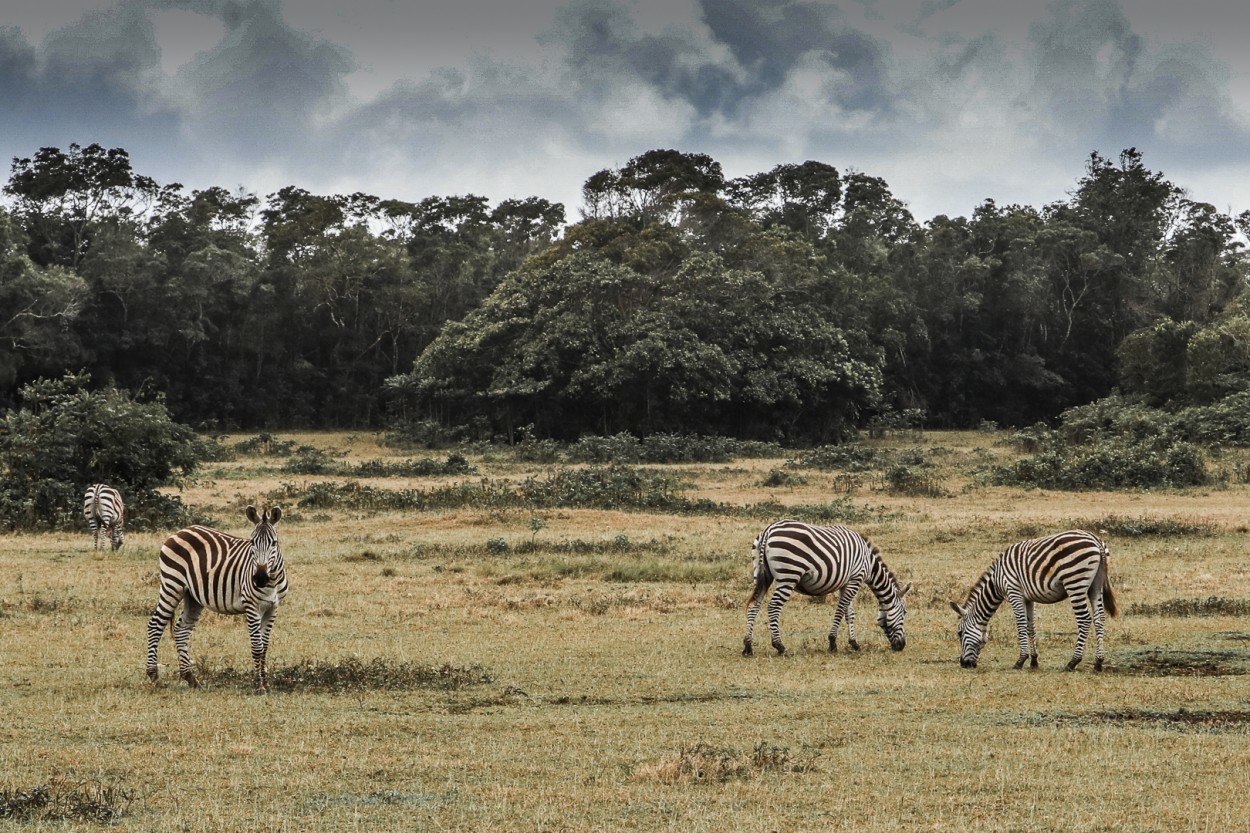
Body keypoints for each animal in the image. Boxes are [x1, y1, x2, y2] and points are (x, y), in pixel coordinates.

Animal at [145, 502, 286, 690]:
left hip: (193, 596)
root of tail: (180, 531)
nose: (260, 578)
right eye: (252, 542)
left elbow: (265, 647)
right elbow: (257, 646)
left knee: (181, 629)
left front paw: (266, 683)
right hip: (172, 585)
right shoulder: (251, 606)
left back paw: (190, 678)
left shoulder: (273, 607)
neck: (271, 583)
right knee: (155, 625)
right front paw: (258, 685)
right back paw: (154, 675)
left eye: (274, 543)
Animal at [740, 520, 910, 655]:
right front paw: (833, 643)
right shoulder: (855, 579)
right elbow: (841, 610)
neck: (869, 564)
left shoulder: (846, 583)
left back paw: (748, 646)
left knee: (754, 605)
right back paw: (780, 646)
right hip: (789, 575)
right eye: (904, 613)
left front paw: (854, 643)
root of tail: (768, 531)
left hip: (761, 574)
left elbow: (849, 613)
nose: (901, 646)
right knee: (774, 606)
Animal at [950, 527, 1120, 670]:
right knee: (1099, 618)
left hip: (1075, 581)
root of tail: (1096, 541)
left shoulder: (1014, 592)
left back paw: (1073, 662)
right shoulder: (1028, 598)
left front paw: (1020, 660)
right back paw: (1098, 662)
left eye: (959, 633)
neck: (997, 581)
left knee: (1084, 619)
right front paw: (1033, 661)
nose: (964, 664)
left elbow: (1020, 625)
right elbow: (1030, 626)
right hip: (1096, 585)